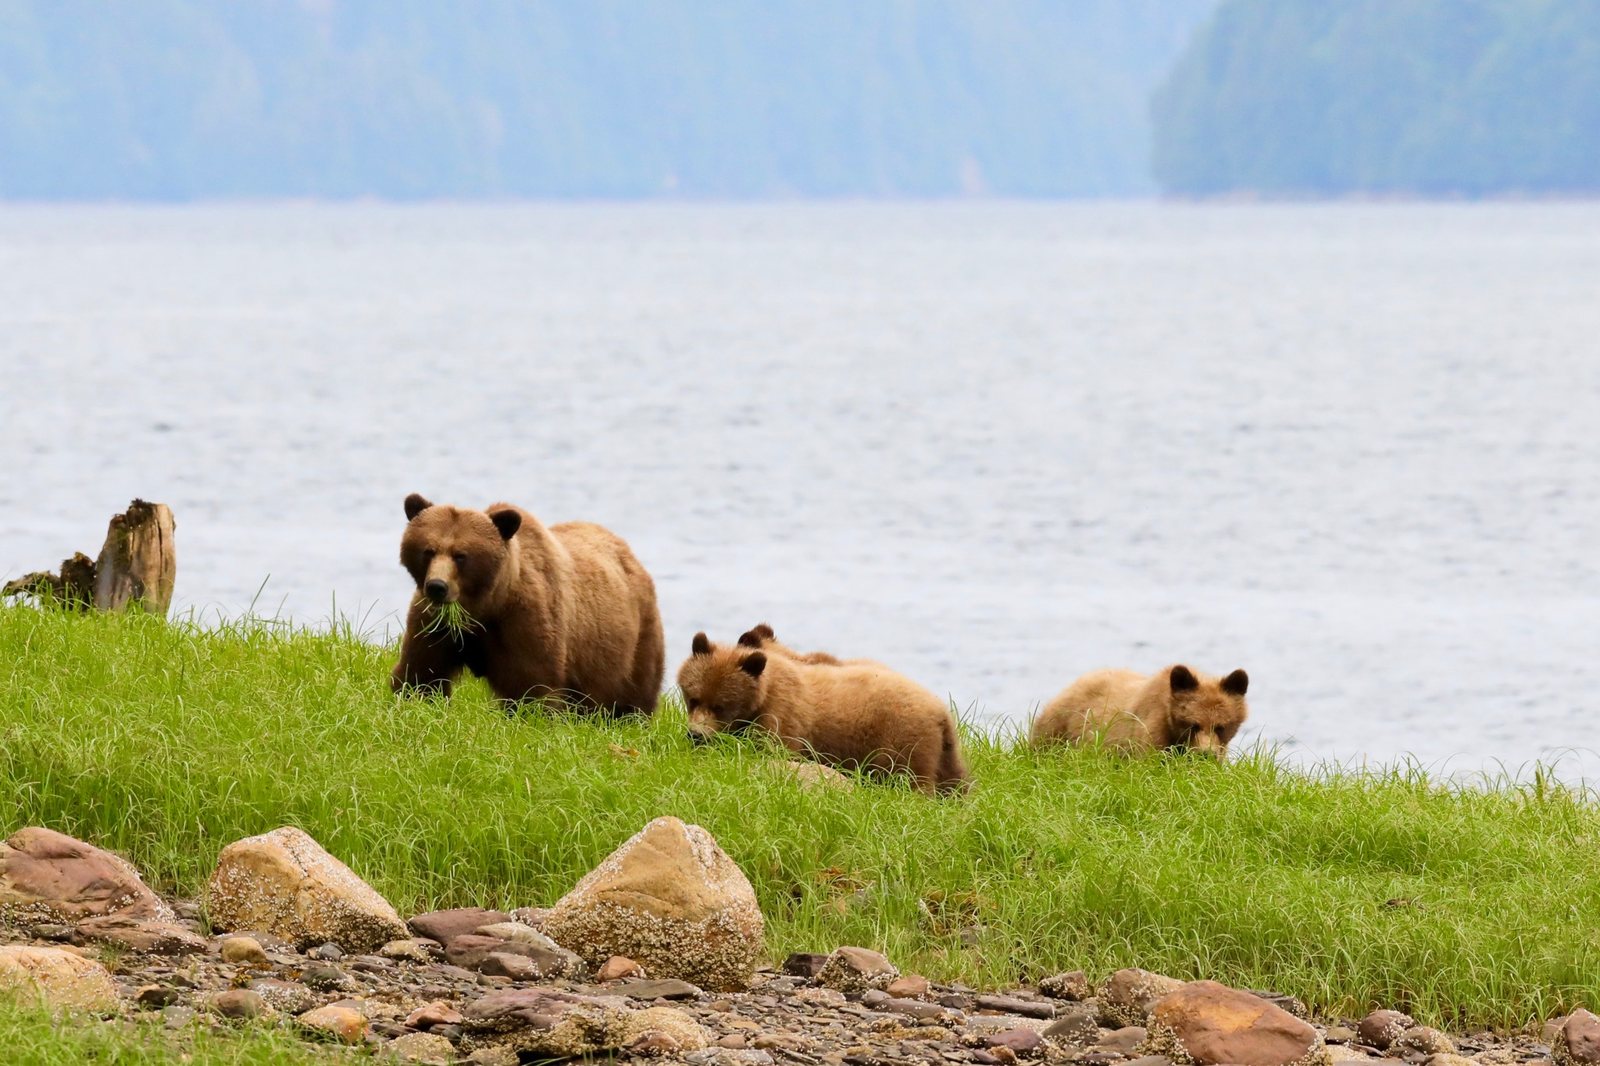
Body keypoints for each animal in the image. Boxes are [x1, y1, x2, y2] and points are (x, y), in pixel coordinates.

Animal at [391, 493, 664, 715]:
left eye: (461, 555)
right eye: (428, 550)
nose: (437, 586)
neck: (484, 606)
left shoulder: (524, 621)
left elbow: (532, 685)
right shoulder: (437, 626)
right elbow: (421, 675)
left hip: (632, 640)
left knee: (635, 693)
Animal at [677, 632, 967, 794]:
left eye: (721, 706)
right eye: (693, 698)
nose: (696, 735)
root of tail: (941, 714)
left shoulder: (783, 717)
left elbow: (772, 751)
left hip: (901, 742)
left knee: (910, 780)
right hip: (947, 755)